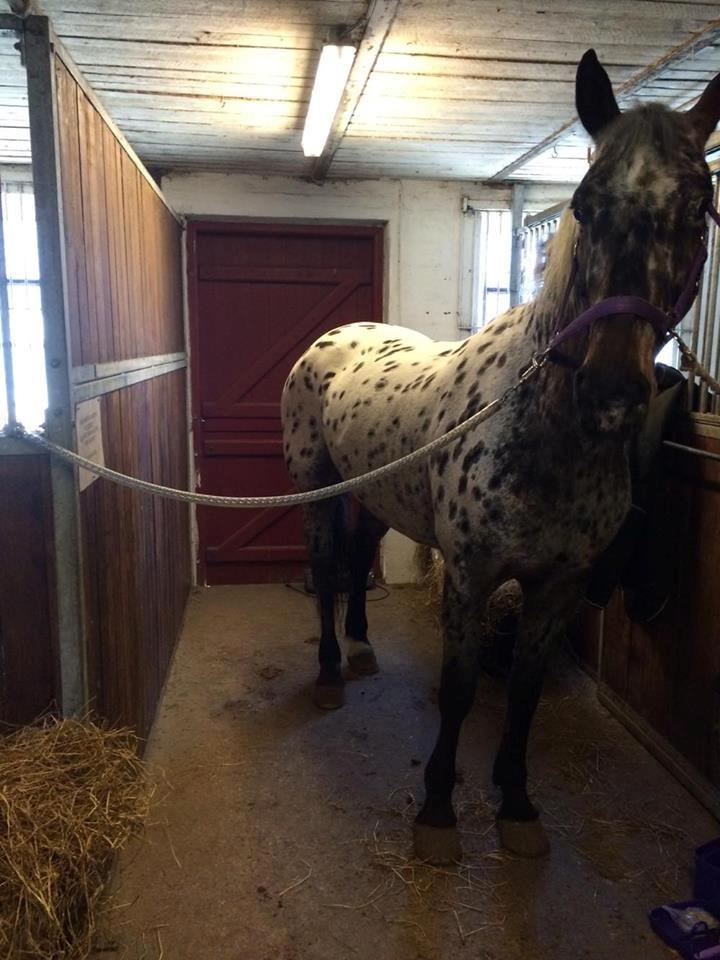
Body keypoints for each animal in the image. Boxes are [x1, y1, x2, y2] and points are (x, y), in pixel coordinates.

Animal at [280, 48, 720, 868]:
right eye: (585, 204)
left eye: (698, 208)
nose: (613, 391)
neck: (547, 435)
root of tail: (335, 337)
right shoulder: (472, 574)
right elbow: (458, 689)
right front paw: (437, 813)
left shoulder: (560, 585)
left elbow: (523, 691)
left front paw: (516, 804)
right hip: (316, 487)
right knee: (325, 564)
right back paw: (327, 671)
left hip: (379, 491)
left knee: (357, 555)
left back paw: (360, 646)